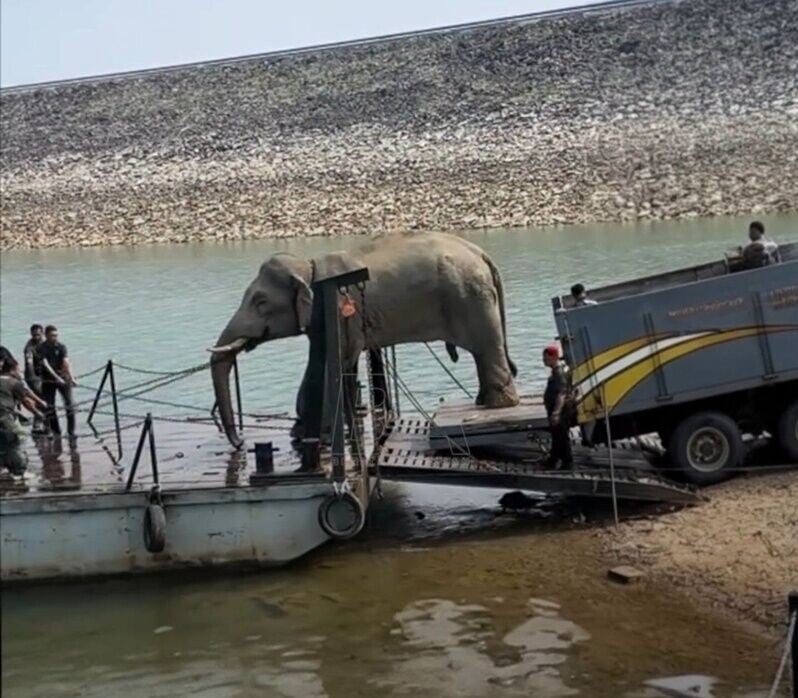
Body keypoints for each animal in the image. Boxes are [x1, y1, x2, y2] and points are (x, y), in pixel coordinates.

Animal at [210, 231, 519, 448]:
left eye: (260, 303)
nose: (240, 443)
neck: (309, 267)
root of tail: (481, 253)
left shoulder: (342, 312)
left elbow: (337, 361)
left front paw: (323, 437)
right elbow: (319, 363)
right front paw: (301, 435)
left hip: (471, 299)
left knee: (486, 349)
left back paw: (497, 406)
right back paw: (483, 401)